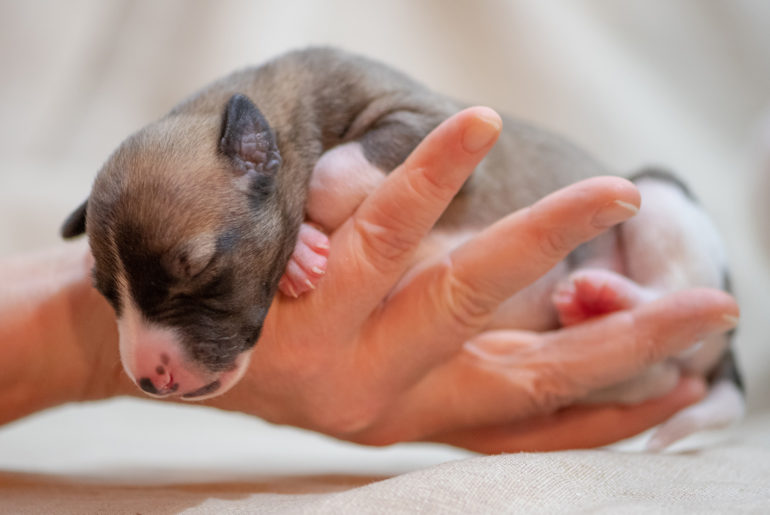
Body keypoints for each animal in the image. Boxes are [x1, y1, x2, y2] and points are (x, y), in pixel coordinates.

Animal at [64, 48, 736, 450]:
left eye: (199, 271)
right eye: (105, 293)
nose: (149, 379)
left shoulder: (426, 117)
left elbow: (332, 171)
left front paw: (309, 235)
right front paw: (302, 249)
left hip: (662, 200)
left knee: (680, 306)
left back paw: (609, 293)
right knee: (660, 371)